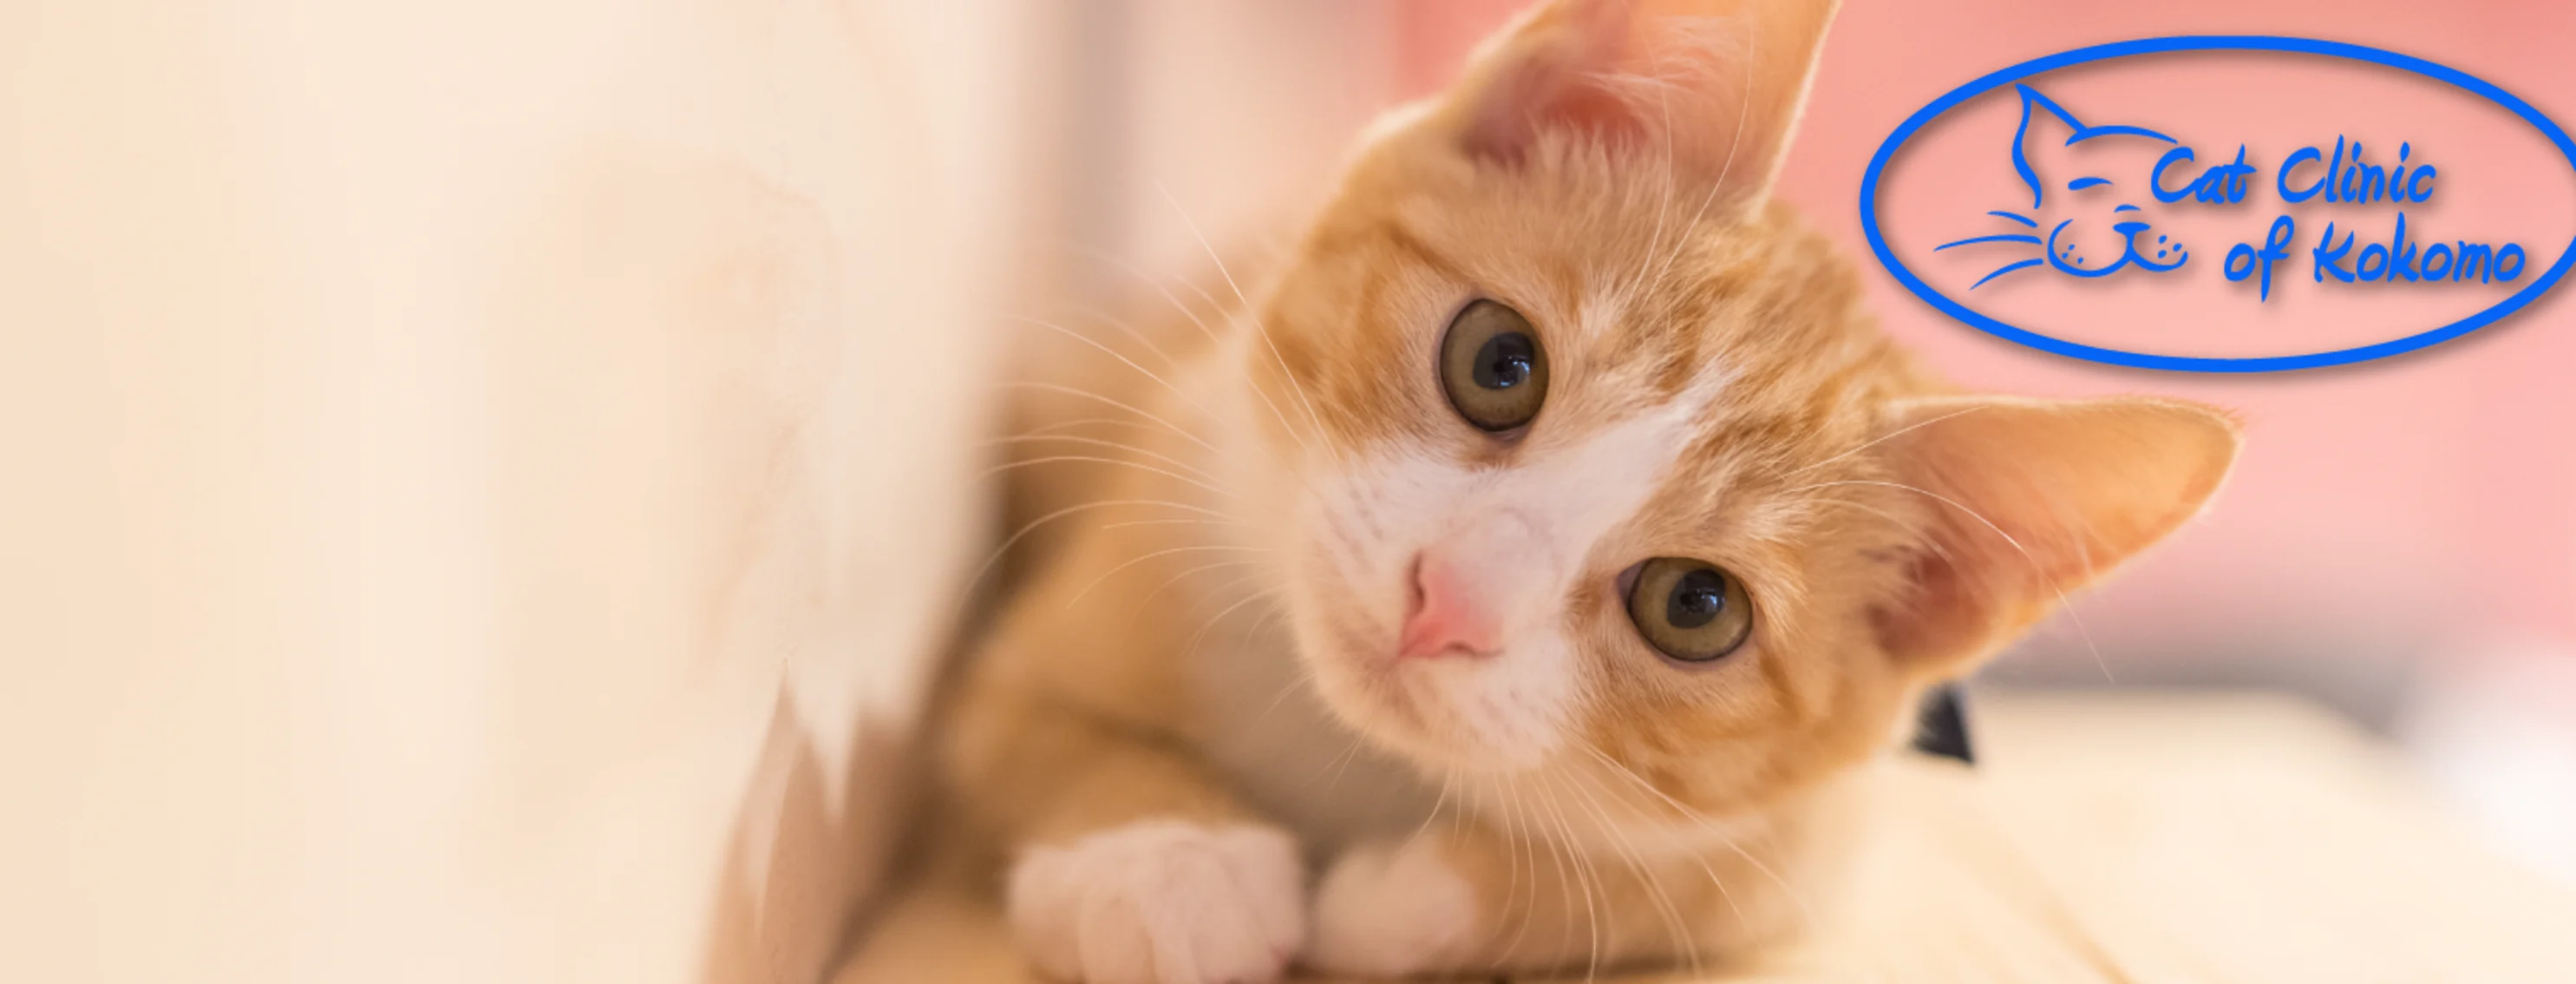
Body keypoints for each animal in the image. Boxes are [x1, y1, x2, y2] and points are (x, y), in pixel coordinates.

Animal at [943, 2, 2235, 984]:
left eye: (1695, 607)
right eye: (1497, 362)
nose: (1447, 602)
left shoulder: (1817, 838)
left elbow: (1674, 884)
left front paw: (1396, 896)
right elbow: (1027, 726)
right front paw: (1160, 864)